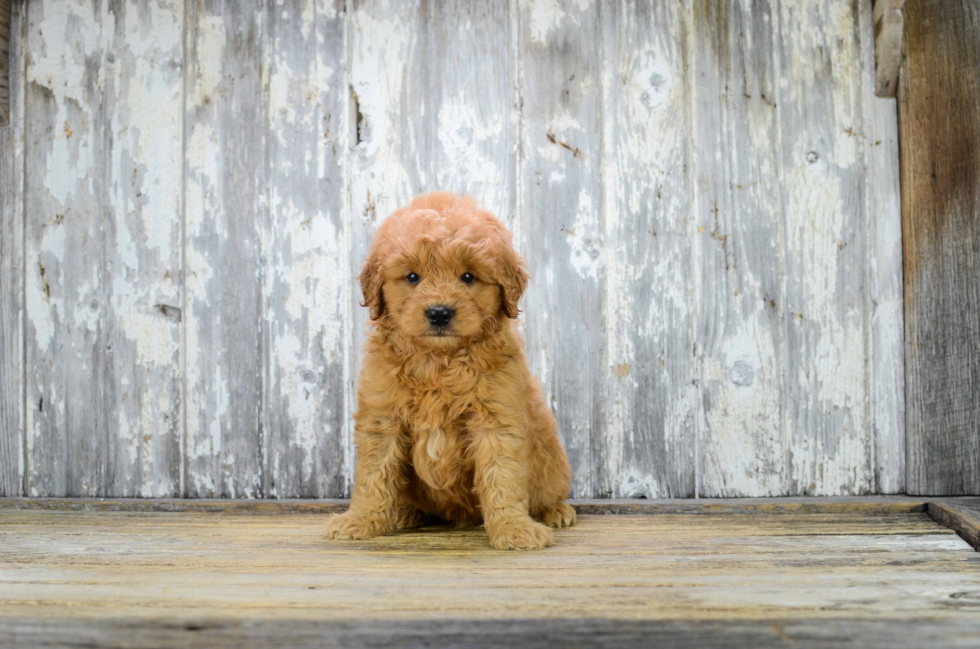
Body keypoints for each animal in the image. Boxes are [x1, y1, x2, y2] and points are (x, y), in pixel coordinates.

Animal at [328, 191, 576, 548]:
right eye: (412, 277)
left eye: (468, 277)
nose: (439, 313)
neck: (438, 361)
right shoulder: (383, 418)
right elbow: (373, 476)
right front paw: (360, 520)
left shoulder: (496, 421)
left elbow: (502, 477)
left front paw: (514, 528)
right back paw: (405, 513)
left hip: (554, 464)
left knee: (550, 492)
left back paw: (555, 511)